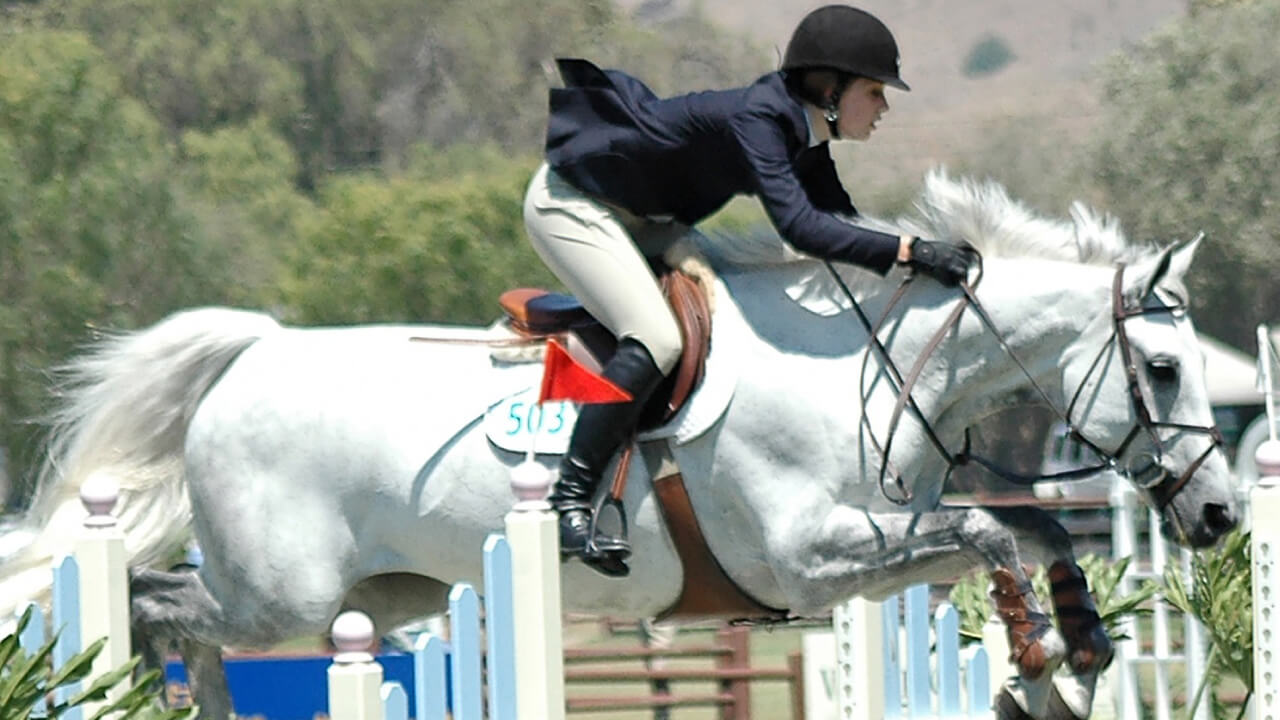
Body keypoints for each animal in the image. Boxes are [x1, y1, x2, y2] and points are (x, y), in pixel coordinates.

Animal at [0, 171, 1236, 720]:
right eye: (1164, 368)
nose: (1221, 514)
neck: (871, 365)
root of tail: (251, 352)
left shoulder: (875, 547)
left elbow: (1033, 531)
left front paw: (1078, 645)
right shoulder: (811, 559)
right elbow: (991, 528)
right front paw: (1035, 661)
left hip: (385, 593)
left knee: (172, 606)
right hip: (283, 595)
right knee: (155, 601)